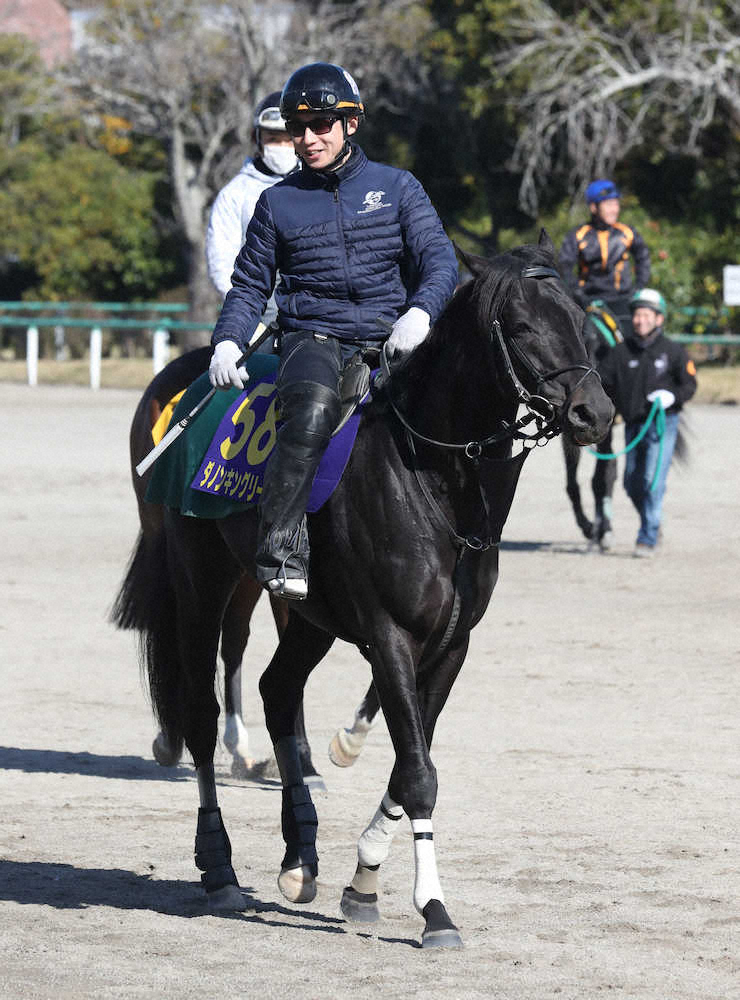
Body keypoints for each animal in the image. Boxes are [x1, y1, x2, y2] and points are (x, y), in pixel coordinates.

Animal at [112, 232, 608, 944]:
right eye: (520, 327)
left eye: (580, 317)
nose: (594, 412)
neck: (432, 479)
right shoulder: (389, 635)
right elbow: (419, 773)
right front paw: (433, 908)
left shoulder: (451, 644)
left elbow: (410, 764)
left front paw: (364, 878)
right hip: (202, 579)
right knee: (204, 710)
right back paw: (219, 865)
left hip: (309, 614)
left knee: (278, 689)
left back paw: (300, 855)